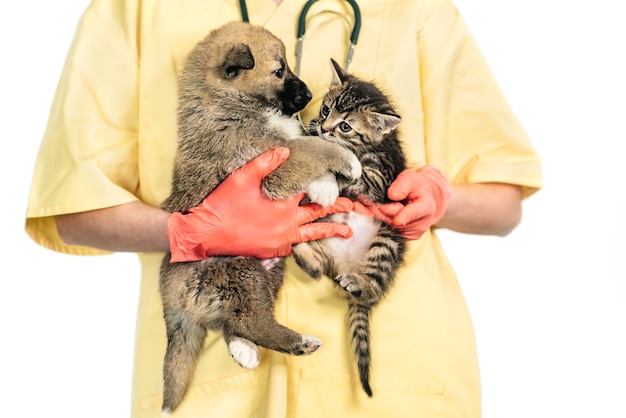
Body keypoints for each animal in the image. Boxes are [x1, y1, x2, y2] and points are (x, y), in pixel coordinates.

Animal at [157, 21, 360, 414]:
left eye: (288, 66)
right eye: (279, 71)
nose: (308, 94)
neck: (228, 102)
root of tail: (172, 303)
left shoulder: (279, 155)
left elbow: (306, 152)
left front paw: (324, 187)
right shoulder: (268, 163)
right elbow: (312, 146)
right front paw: (347, 161)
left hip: (266, 274)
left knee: (235, 322)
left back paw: (245, 350)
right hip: (238, 271)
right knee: (251, 321)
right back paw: (298, 342)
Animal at [292, 58, 408, 396]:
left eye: (346, 126)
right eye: (326, 109)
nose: (325, 127)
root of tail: (348, 264)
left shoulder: (380, 180)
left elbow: (352, 168)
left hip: (388, 239)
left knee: (372, 290)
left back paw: (362, 285)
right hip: (323, 229)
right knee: (317, 268)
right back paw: (301, 249)